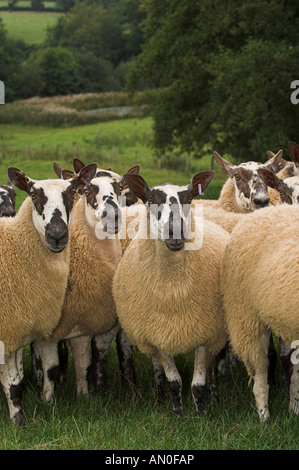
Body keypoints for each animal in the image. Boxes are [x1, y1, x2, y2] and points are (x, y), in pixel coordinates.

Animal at [0, 163, 96, 424]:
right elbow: (13, 383)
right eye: (33, 195)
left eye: (72, 193)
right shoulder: (6, 332)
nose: (57, 235)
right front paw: (19, 423)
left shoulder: (21, 326)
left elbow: (22, 378)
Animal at [34, 161, 141, 400]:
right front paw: (48, 397)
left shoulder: (94, 318)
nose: (112, 216)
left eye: (120, 187)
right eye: (86, 190)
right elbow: (52, 363)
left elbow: (93, 359)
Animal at [112, 172, 230, 414]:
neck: (173, 291)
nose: (175, 232)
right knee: (157, 368)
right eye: (150, 200)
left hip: (217, 334)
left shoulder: (206, 335)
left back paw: (214, 396)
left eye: (189, 198)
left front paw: (201, 415)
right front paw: (177, 413)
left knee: (212, 367)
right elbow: (174, 381)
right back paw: (159, 397)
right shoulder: (158, 336)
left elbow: (197, 385)